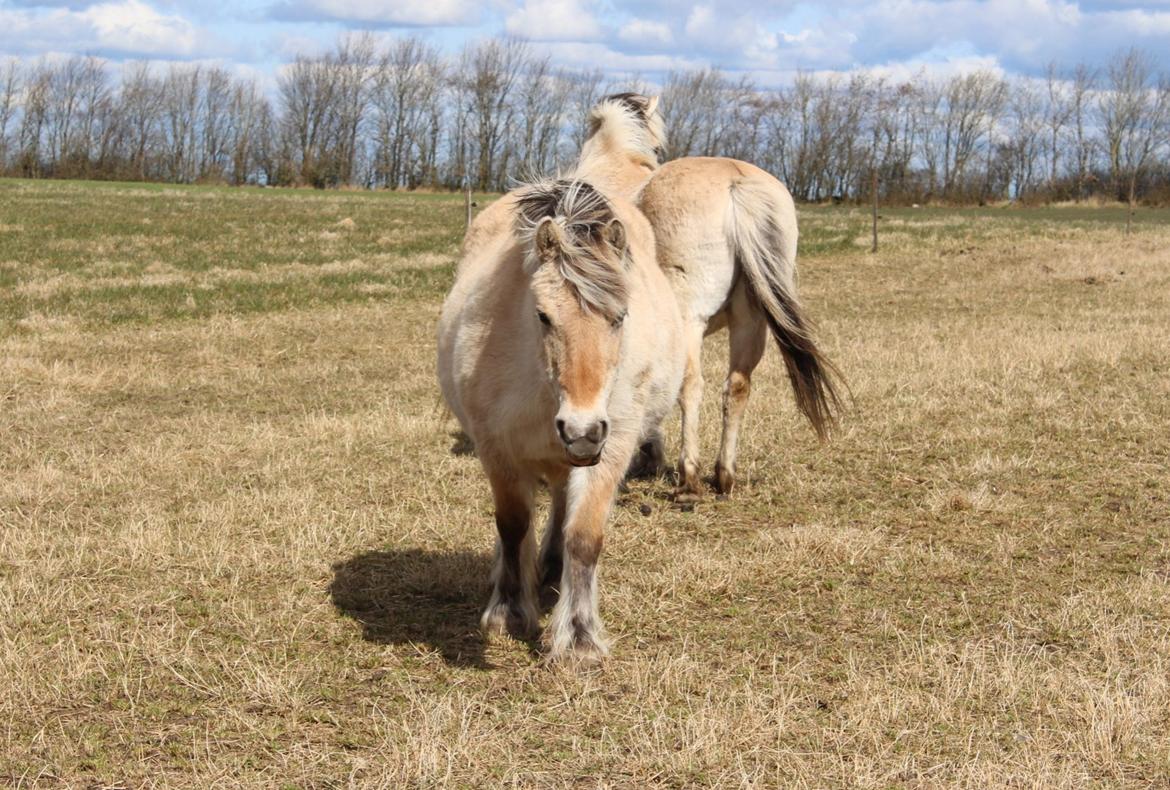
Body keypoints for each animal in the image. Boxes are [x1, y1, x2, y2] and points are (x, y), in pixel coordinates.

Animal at [437, 177, 683, 660]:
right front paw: (509, 613)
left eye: (620, 317)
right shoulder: (497, 450)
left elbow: (583, 536)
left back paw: (552, 570)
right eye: (543, 315)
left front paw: (580, 639)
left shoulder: (611, 449)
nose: (582, 431)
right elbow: (512, 525)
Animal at [582, 92, 842, 500]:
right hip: (750, 322)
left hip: (689, 319)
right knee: (737, 386)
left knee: (691, 385)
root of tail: (736, 182)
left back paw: (688, 477)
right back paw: (723, 476)